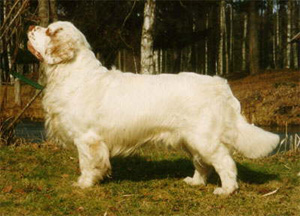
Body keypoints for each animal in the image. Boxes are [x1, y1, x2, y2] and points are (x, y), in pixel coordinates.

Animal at [27, 21, 280, 195]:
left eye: (49, 31)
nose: (30, 26)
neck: (72, 74)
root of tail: (220, 84)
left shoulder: (87, 139)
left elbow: (88, 164)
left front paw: (83, 184)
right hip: (190, 140)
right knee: (202, 164)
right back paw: (195, 182)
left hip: (204, 139)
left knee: (225, 162)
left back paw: (226, 190)